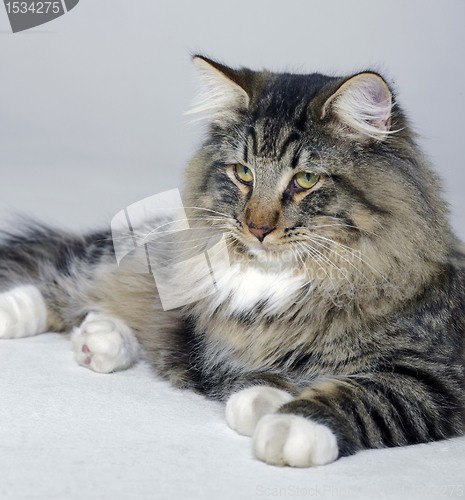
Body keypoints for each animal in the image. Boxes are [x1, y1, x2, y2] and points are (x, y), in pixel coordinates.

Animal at [0, 56, 464, 466]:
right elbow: (261, 374)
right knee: (70, 275)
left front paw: (289, 426)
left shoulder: (434, 377)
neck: (285, 281)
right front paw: (267, 409)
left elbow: (357, 394)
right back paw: (17, 313)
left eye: (305, 180)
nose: (257, 228)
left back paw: (97, 340)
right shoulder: (220, 349)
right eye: (243, 173)